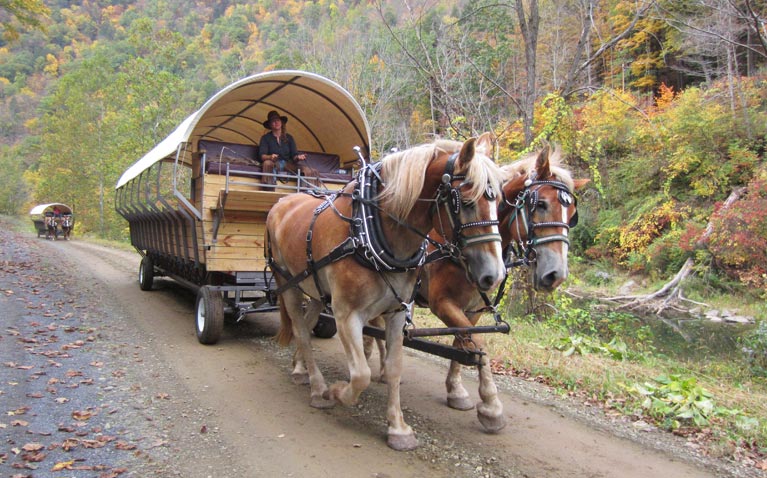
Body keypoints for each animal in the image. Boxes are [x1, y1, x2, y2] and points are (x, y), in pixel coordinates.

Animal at [268, 133, 508, 450]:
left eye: (499, 202)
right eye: (466, 202)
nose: (495, 274)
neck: (370, 230)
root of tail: (282, 200)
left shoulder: (395, 312)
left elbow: (394, 368)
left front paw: (398, 428)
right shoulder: (346, 315)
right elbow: (360, 374)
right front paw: (337, 392)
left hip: (317, 291)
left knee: (305, 326)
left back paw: (300, 369)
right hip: (290, 285)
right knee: (301, 330)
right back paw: (318, 388)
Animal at [416, 144, 592, 432]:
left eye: (572, 215)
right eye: (540, 204)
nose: (555, 275)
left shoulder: (473, 309)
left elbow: (463, 341)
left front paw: (456, 391)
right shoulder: (441, 302)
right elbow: (479, 343)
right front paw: (491, 405)